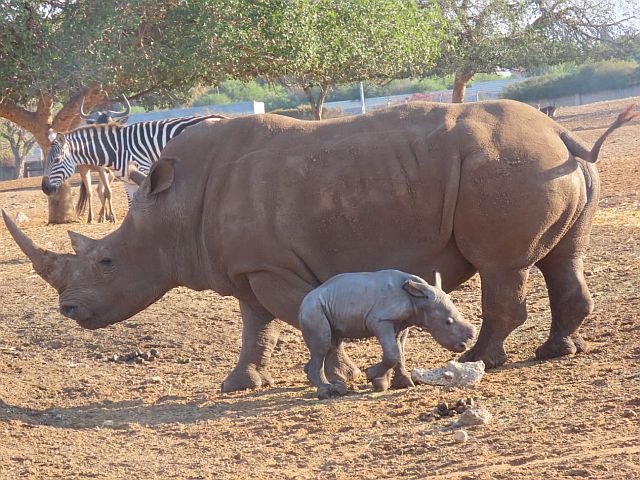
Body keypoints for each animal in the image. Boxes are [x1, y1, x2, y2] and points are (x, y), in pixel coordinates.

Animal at [43, 113, 228, 205]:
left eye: (57, 160)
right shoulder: (128, 182)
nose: (45, 189)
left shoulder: (145, 171)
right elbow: (132, 204)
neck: (117, 149)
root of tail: (222, 117)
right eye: (45, 161)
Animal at [298, 270, 476, 398]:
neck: (418, 300)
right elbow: (393, 353)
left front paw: (400, 383)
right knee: (323, 344)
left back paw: (338, 389)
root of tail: (303, 302)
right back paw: (326, 392)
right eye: (448, 322)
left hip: (323, 308)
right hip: (313, 308)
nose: (464, 345)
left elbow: (399, 351)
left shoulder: (402, 323)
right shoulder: (380, 320)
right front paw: (371, 375)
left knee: (331, 343)